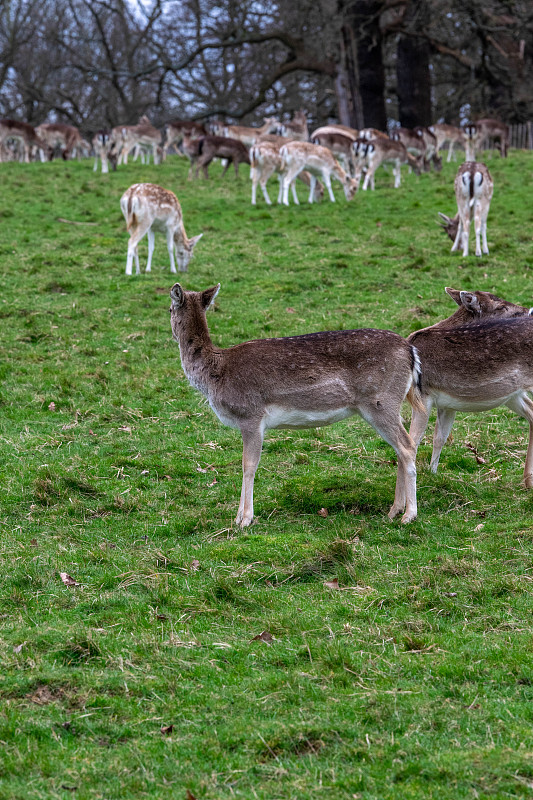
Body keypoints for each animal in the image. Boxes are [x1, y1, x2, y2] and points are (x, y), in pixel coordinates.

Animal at [168, 284, 422, 528]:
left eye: (169, 309)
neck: (216, 374)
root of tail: (411, 351)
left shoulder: (251, 414)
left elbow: (248, 465)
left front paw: (245, 519)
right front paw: (238, 516)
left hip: (381, 401)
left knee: (407, 446)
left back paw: (409, 515)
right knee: (400, 448)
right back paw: (394, 510)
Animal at [406, 296, 532, 490]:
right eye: (501, 306)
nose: (529, 310)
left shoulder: (423, 396)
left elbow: (415, 439)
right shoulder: (446, 404)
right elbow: (439, 437)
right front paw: (432, 473)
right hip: (512, 395)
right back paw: (527, 480)